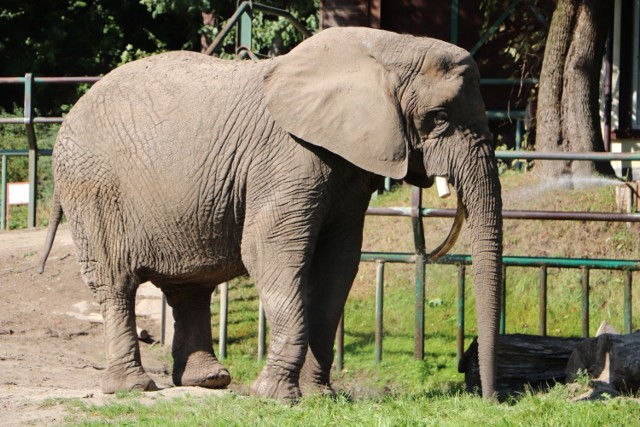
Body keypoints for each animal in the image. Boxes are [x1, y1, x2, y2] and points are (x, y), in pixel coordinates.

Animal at [38, 26, 504, 402]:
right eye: (438, 118)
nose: (487, 399)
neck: (388, 48)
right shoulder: (287, 157)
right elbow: (270, 252)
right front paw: (276, 397)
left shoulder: (346, 168)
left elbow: (338, 265)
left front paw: (320, 398)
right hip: (92, 188)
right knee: (116, 283)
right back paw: (132, 388)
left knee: (190, 287)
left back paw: (209, 381)